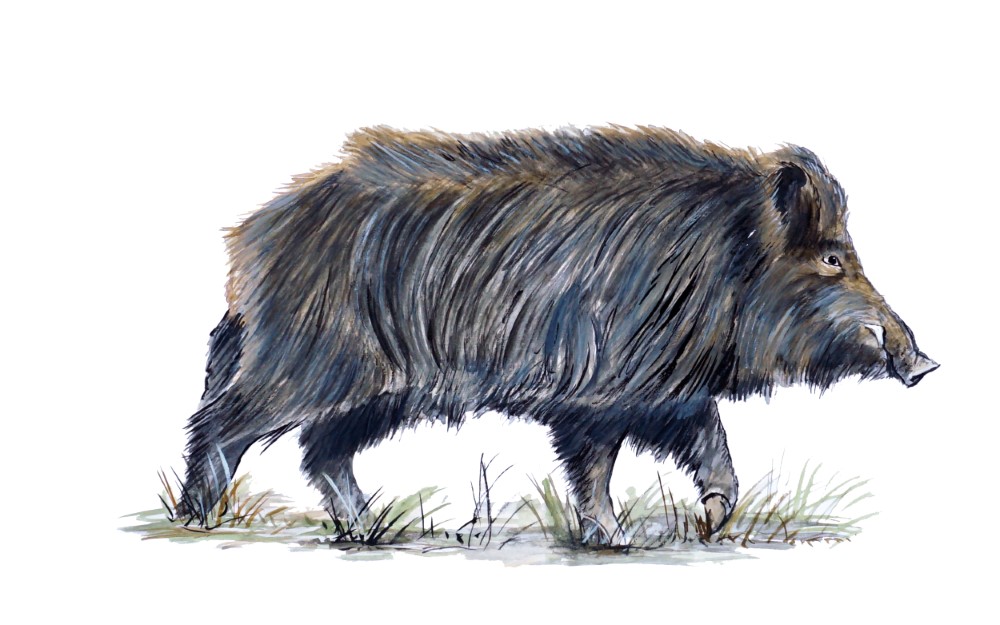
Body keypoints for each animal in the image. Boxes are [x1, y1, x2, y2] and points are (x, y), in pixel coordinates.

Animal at [177, 125, 938, 544]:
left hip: (380, 391)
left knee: (322, 449)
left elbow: (710, 445)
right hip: (305, 358)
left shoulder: (664, 391)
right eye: (833, 258)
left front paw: (709, 523)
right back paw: (198, 522)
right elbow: (597, 466)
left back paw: (370, 528)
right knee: (220, 424)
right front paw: (619, 540)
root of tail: (248, 242)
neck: (726, 259)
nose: (923, 361)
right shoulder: (604, 390)